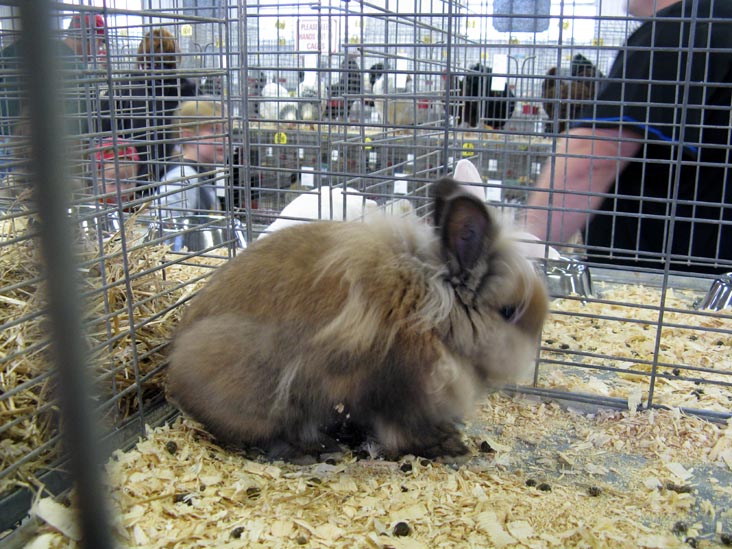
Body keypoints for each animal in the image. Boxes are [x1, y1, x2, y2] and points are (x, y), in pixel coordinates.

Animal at [166, 176, 549, 461]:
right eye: (509, 311)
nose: (529, 355)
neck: (434, 312)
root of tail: (177, 376)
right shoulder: (398, 393)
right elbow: (401, 432)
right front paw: (449, 446)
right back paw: (314, 450)